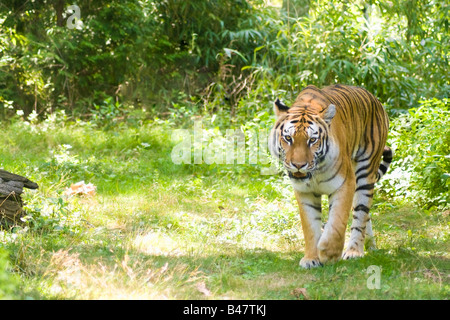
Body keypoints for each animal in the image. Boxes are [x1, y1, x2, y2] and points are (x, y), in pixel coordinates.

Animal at [268, 84, 392, 268]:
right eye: (288, 138)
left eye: (312, 140)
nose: (298, 165)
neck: (315, 173)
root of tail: (374, 98)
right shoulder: (304, 192)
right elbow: (310, 227)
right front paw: (311, 259)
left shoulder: (345, 183)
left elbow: (337, 223)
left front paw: (329, 254)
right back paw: (370, 245)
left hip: (365, 171)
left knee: (361, 213)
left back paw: (355, 251)